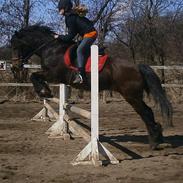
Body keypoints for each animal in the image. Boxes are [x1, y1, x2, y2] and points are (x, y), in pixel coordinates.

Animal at [10, 25, 172, 149]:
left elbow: (34, 76)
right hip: (133, 96)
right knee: (148, 112)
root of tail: (137, 66)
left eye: (16, 45)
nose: (15, 67)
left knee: (146, 112)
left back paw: (155, 141)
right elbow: (35, 77)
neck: (50, 49)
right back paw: (158, 138)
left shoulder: (54, 75)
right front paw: (45, 91)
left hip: (131, 96)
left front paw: (45, 92)